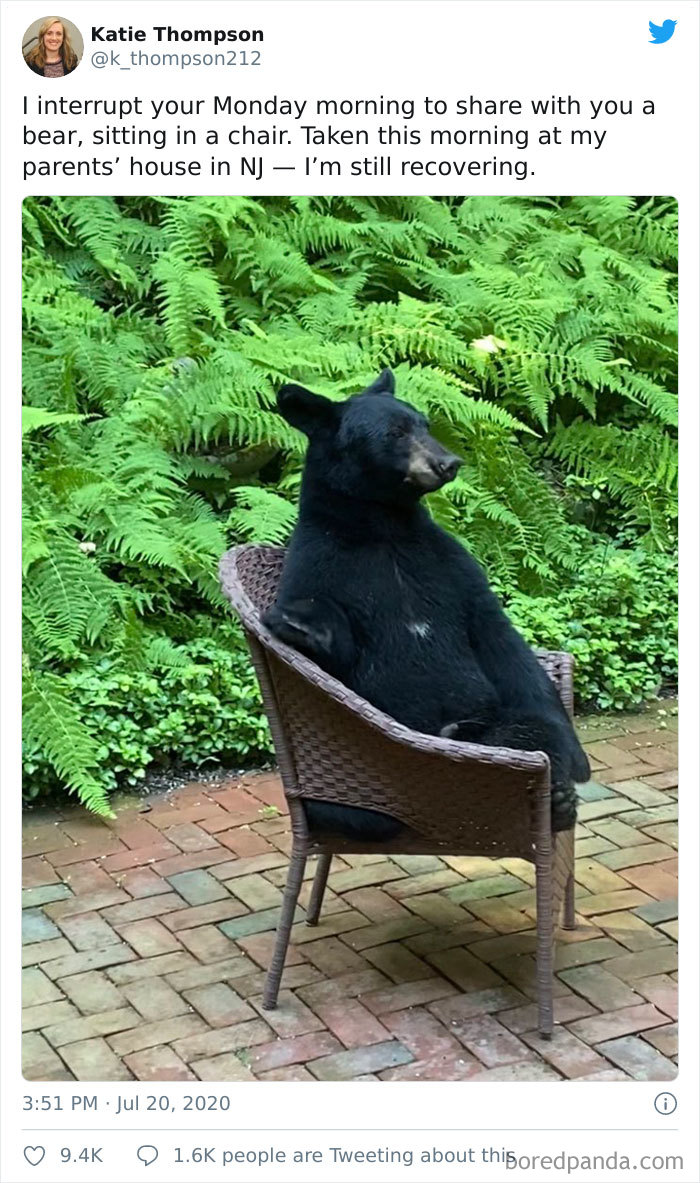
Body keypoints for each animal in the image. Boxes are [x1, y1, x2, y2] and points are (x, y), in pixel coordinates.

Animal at [263, 368, 590, 839]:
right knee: (357, 807)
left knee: (527, 731)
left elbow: (499, 638)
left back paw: (557, 799)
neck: (385, 528)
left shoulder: (450, 565)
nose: (448, 462)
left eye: (425, 424)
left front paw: (574, 758)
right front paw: (301, 625)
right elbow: (334, 654)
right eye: (394, 433)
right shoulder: (319, 564)